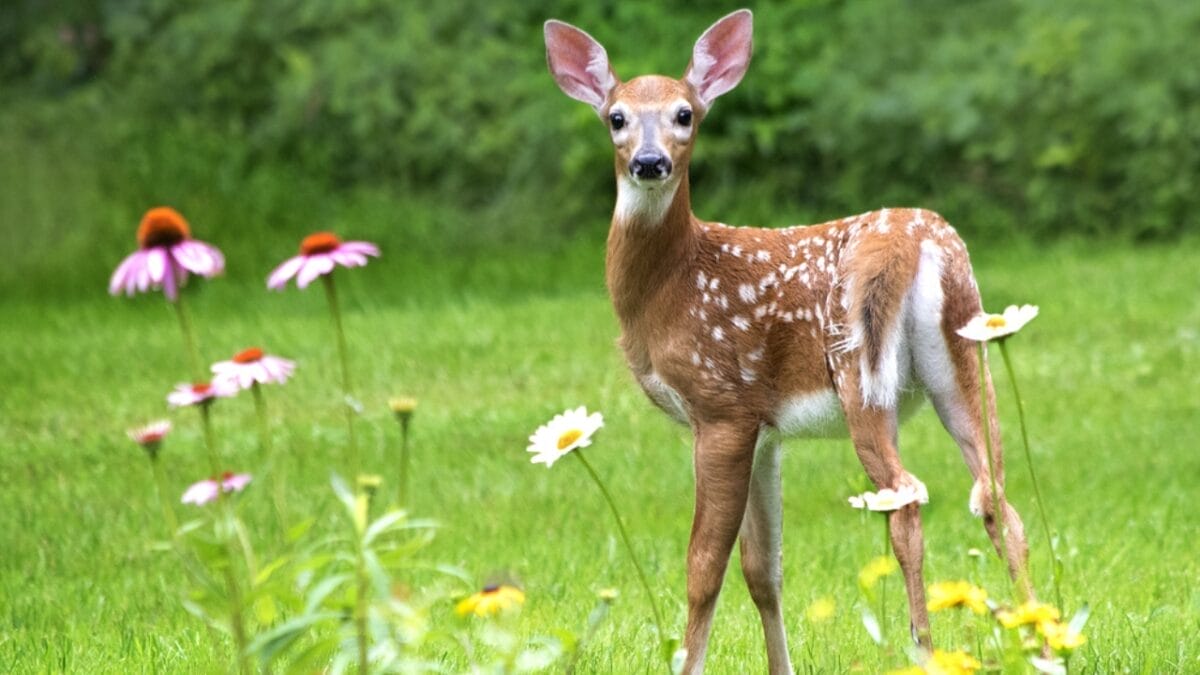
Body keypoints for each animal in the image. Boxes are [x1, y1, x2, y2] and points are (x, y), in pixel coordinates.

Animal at [544, 9, 1036, 674]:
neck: (670, 286)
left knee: (908, 498)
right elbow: (763, 570)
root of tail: (915, 241)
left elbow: (704, 567)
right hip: (964, 356)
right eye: (616, 117)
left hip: (858, 370)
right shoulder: (765, 430)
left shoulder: (721, 406)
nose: (649, 162)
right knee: (996, 500)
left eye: (685, 114)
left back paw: (924, 649)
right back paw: (1040, 639)